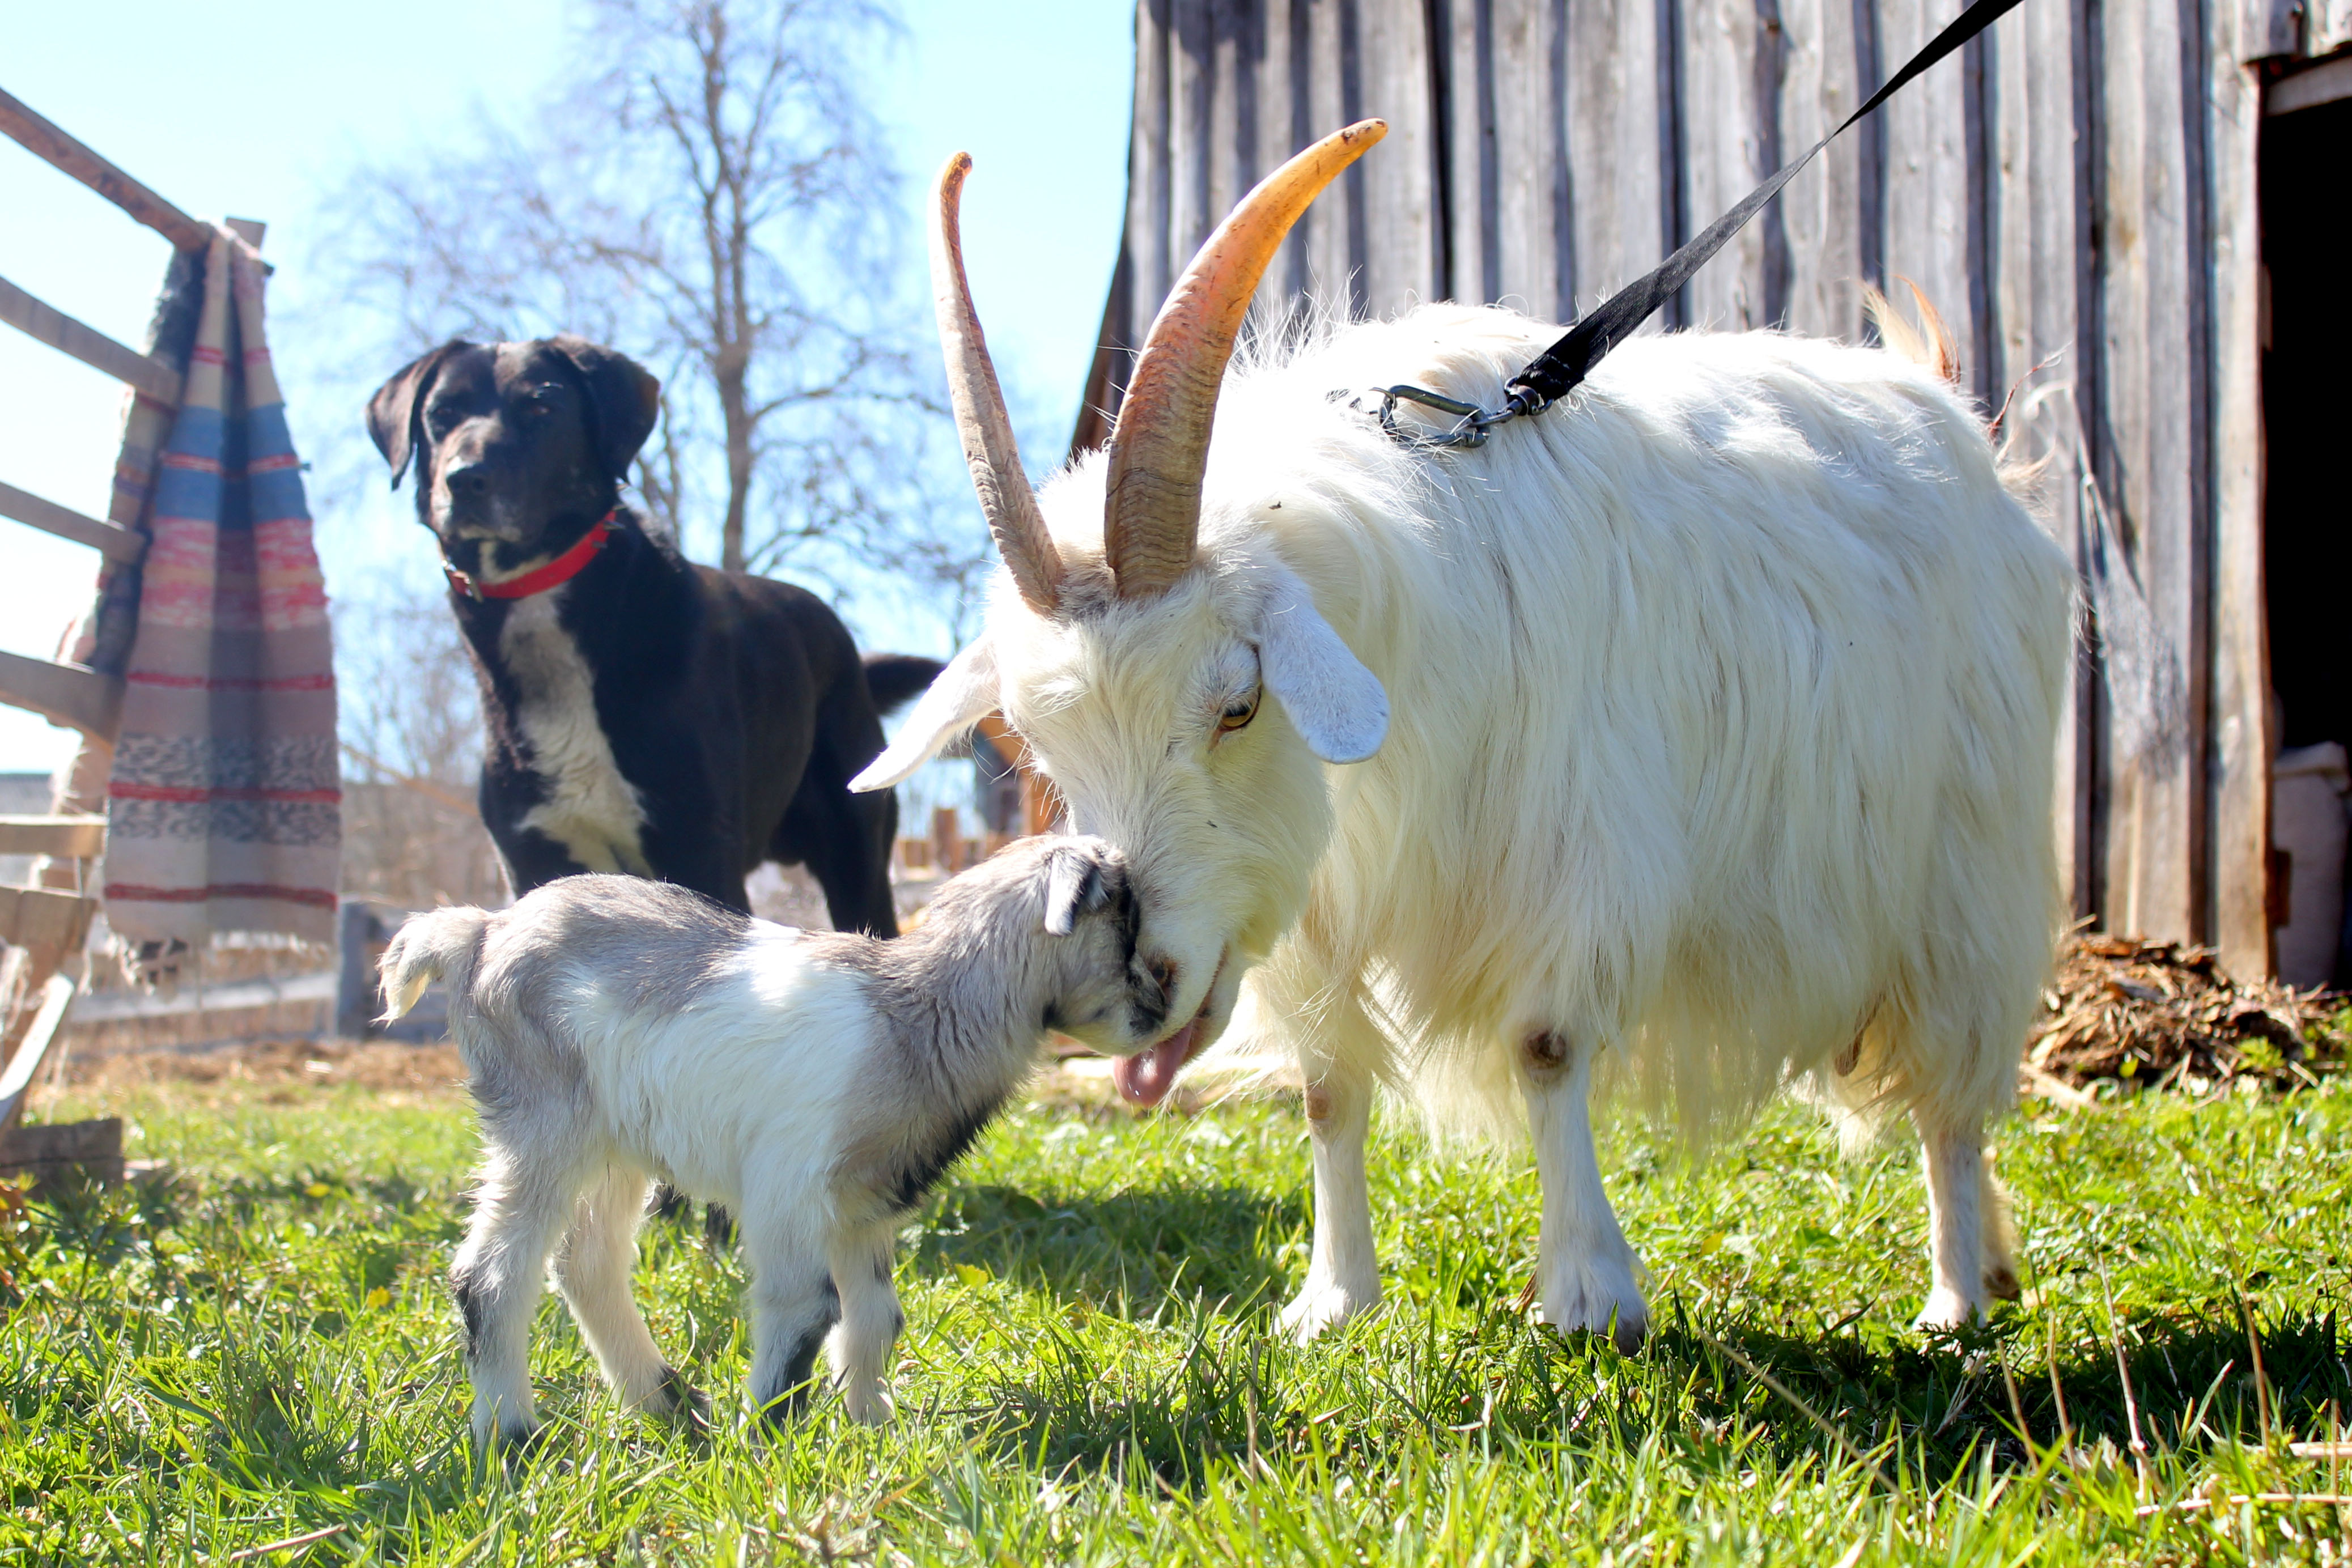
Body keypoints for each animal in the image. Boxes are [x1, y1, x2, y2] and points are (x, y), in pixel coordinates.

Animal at [367, 338, 936, 930]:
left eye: (541, 407)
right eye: (442, 415)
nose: (464, 478)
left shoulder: (697, 852)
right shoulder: (536, 861)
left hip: (857, 857)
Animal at [379, 832, 1176, 1448]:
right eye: (1125, 926)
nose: (1161, 1009)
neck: (917, 1013)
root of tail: (480, 931)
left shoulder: (861, 1208)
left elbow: (876, 1317)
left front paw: (876, 1434)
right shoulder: (787, 1190)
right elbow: (807, 1308)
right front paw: (764, 1444)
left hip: (614, 1145)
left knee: (587, 1263)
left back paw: (670, 1407)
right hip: (545, 1123)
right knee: (492, 1274)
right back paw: (513, 1436)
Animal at [860, 125, 2060, 1354]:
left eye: (1238, 703)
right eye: (1044, 745)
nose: (1145, 979)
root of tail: (1950, 413)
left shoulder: (1568, 847)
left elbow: (1545, 1046)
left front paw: (1587, 1293)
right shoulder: (1319, 900)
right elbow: (1327, 1088)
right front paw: (1331, 1299)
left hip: (1962, 872)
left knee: (1952, 1099)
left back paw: (1955, 1292)